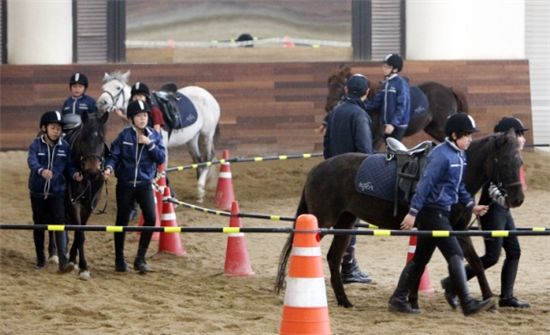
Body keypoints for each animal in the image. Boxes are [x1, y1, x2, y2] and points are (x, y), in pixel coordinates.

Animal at [65, 111, 109, 280]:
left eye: (102, 139)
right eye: (83, 138)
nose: (93, 170)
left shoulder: (90, 205)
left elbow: (81, 232)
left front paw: (76, 261)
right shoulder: (73, 202)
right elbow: (78, 232)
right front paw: (80, 265)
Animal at [98, 71, 221, 202]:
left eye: (118, 88)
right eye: (103, 88)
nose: (101, 103)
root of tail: (209, 96)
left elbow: (161, 170)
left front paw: (169, 196)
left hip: (207, 134)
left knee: (208, 158)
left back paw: (200, 190)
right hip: (192, 138)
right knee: (198, 160)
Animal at [276, 130, 528, 308]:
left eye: (520, 162)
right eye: (505, 162)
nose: (518, 199)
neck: (456, 173)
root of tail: (317, 169)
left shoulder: (453, 230)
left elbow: (464, 261)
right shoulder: (440, 228)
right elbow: (432, 262)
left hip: (345, 222)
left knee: (333, 257)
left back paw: (344, 301)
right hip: (321, 222)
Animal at [326, 65, 472, 149]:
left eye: (341, 84)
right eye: (329, 84)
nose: (329, 107)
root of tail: (449, 89)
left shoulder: (377, 138)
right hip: (434, 129)